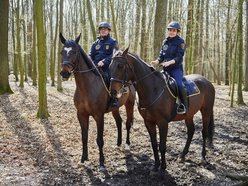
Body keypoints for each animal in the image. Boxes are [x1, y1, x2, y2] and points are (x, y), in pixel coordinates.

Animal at [58, 32, 135, 169]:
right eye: (62, 52)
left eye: (74, 52)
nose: (64, 73)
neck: (87, 87)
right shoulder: (81, 114)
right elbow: (84, 137)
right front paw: (83, 159)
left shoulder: (99, 115)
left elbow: (99, 140)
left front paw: (102, 162)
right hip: (115, 108)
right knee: (119, 122)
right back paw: (118, 144)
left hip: (129, 104)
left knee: (128, 123)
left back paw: (126, 144)